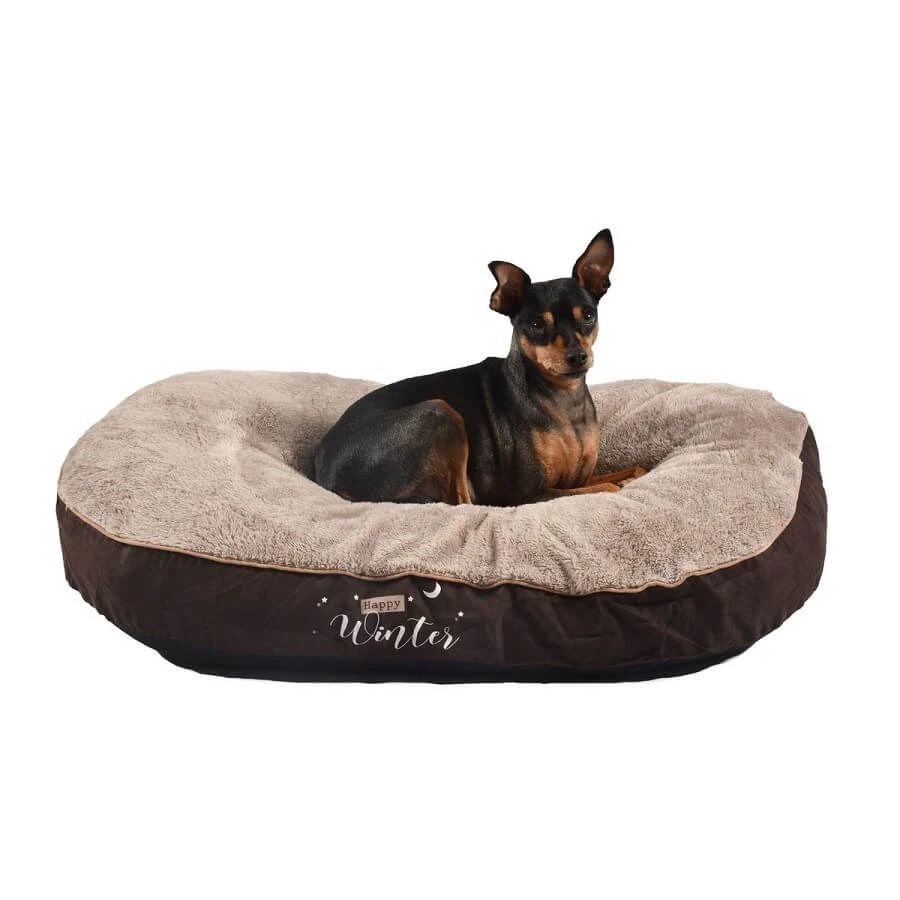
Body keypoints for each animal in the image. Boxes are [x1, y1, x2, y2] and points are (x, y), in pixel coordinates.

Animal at [314, 229, 645, 506]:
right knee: (461, 503)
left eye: (588, 316)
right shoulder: (530, 495)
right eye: (537, 325)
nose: (578, 356)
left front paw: (631, 475)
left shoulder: (580, 478)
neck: (563, 397)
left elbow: (635, 468)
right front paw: (620, 486)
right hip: (439, 413)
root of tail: (324, 477)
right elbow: (607, 487)